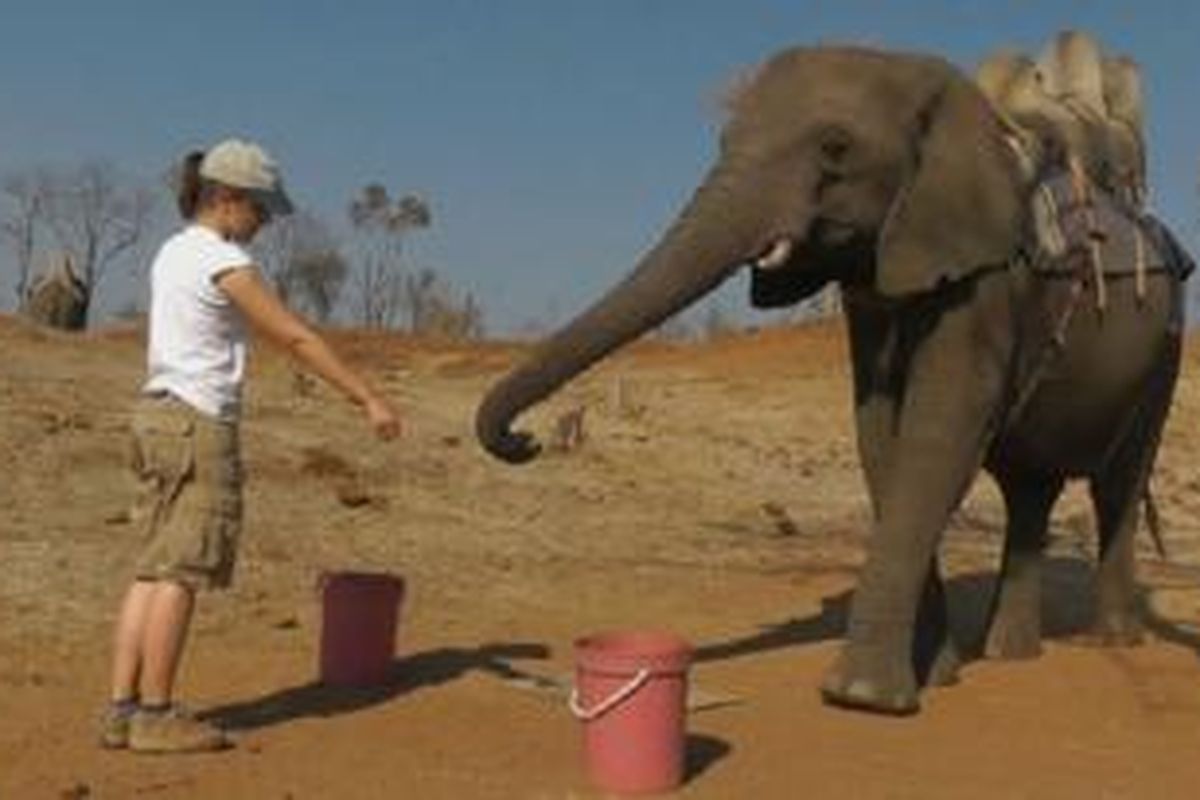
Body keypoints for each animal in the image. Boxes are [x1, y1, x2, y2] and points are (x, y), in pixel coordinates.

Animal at [475, 47, 1190, 714]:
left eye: (836, 147)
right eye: (723, 142)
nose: (522, 441)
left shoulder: (986, 279)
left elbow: (940, 430)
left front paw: (864, 697)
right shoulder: (875, 286)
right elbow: (880, 435)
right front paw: (936, 675)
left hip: (1166, 343)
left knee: (1119, 483)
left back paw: (1111, 639)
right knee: (1030, 489)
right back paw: (1009, 654)